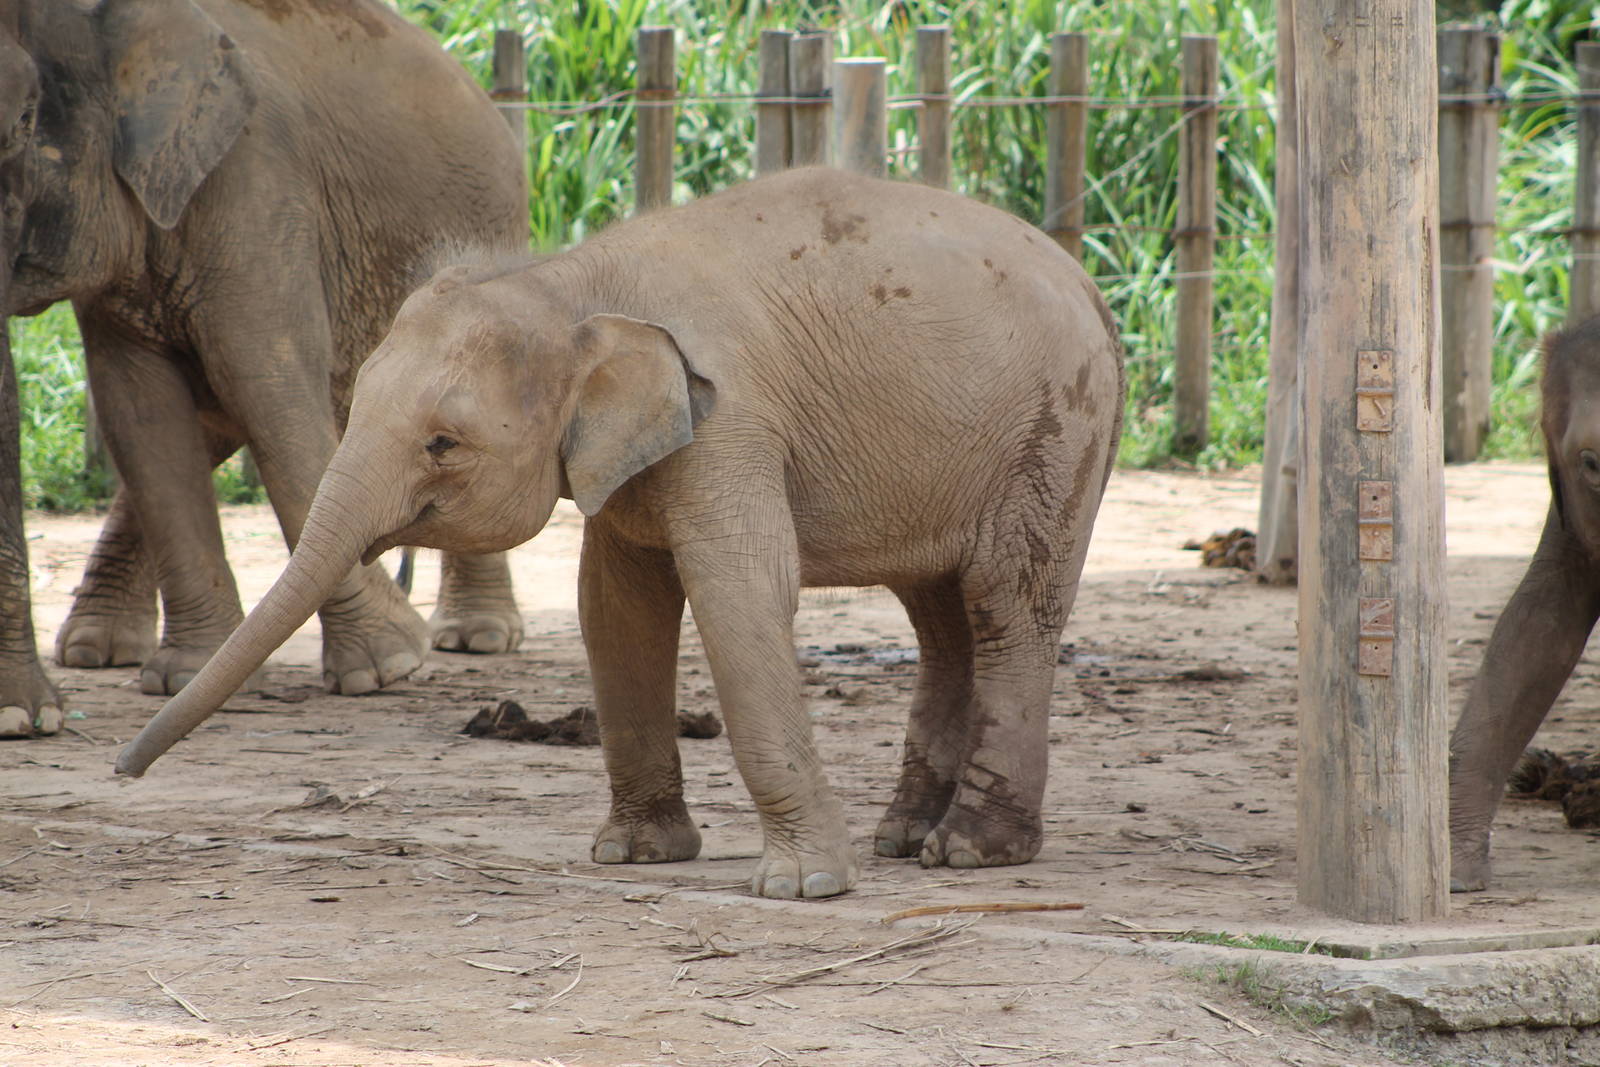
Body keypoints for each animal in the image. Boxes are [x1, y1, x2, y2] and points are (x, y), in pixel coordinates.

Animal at [0, 0, 532, 736]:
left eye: (24, 122)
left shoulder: (257, 190)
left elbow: (265, 383)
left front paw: (386, 669)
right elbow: (142, 414)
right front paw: (189, 679)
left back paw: (474, 639)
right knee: (203, 420)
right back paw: (96, 651)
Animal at [115, 168, 1126, 900]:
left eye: (444, 443)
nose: (124, 770)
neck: (568, 281)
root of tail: (1090, 284)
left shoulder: (733, 421)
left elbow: (739, 591)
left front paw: (805, 888)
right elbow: (615, 604)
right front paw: (636, 856)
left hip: (1054, 437)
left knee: (1006, 607)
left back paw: (968, 852)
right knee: (940, 616)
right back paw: (906, 836)